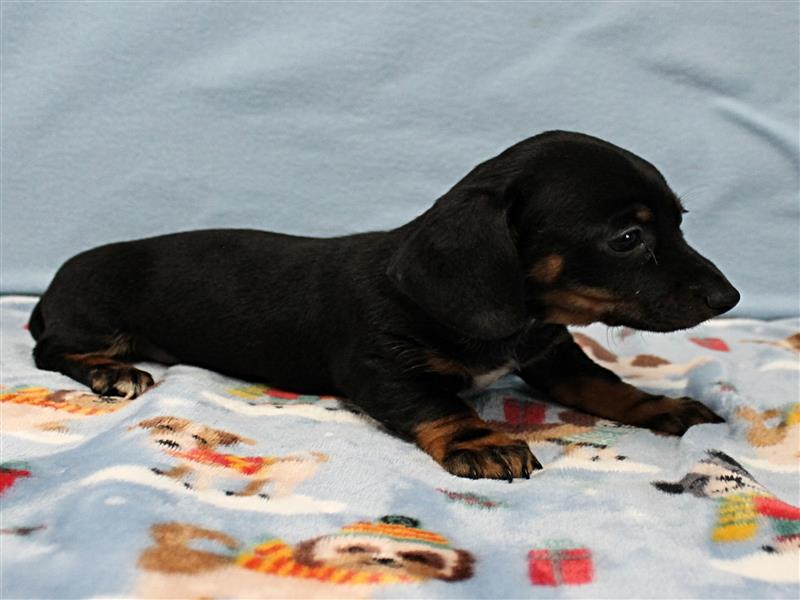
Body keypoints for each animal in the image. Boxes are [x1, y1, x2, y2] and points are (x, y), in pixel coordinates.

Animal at [29, 131, 740, 480]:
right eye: (627, 238)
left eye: (678, 221)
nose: (729, 298)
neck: (515, 320)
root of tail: (52, 290)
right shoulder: (380, 367)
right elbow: (439, 404)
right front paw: (483, 439)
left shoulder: (551, 354)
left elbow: (606, 386)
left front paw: (664, 406)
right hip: (94, 317)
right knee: (50, 350)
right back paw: (111, 372)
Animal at [137, 416, 327, 497]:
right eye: (167, 427)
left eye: (200, 439)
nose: (170, 442)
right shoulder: (187, 465)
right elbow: (177, 472)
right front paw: (164, 474)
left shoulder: (206, 472)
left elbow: (201, 482)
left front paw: (194, 490)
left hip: (286, 478)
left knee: (282, 492)